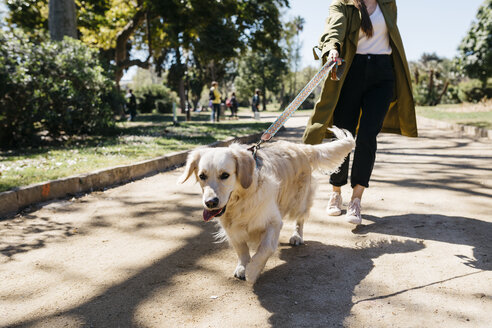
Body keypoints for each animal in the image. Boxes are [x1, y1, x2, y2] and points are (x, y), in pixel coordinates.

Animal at [179, 128, 356, 282]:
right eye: (202, 176)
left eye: (225, 175)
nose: (210, 202)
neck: (242, 199)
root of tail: (301, 147)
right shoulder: (231, 228)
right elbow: (241, 249)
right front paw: (242, 267)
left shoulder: (273, 221)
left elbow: (264, 248)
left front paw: (252, 271)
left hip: (299, 201)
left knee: (300, 220)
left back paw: (297, 236)